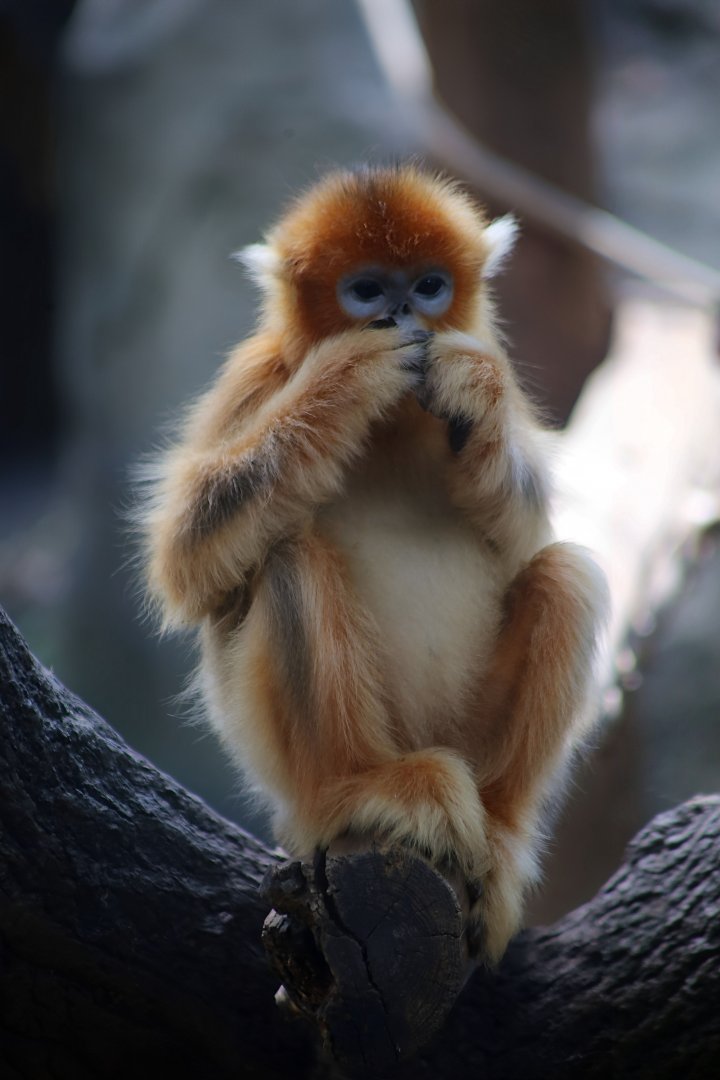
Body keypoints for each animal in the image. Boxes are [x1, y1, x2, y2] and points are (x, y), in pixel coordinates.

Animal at [141, 164, 608, 965]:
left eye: (428, 286)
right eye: (366, 290)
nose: (399, 315)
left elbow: (524, 533)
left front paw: (469, 390)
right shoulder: (259, 373)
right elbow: (185, 560)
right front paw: (349, 380)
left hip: (467, 735)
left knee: (566, 578)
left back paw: (499, 840)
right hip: (298, 775)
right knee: (289, 559)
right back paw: (365, 790)